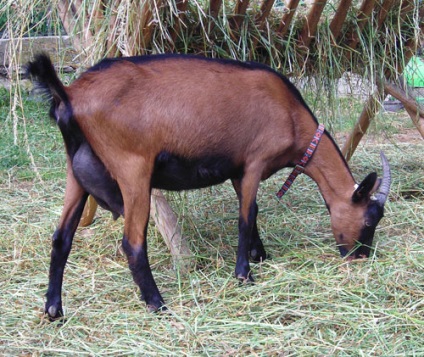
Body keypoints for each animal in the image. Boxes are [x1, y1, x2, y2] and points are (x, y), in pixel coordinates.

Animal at [25, 54, 390, 318]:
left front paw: (259, 255)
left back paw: (54, 308)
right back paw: (158, 304)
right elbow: (247, 215)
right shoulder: (255, 160)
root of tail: (70, 94)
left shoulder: (237, 172)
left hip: (76, 172)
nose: (361, 257)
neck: (291, 116)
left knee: (61, 239)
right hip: (132, 169)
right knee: (133, 243)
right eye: (369, 219)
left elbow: (251, 211)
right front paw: (244, 274)